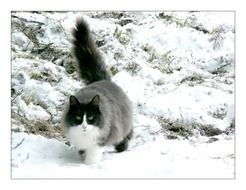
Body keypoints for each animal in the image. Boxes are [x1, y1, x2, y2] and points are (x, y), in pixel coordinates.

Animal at [62, 17, 134, 164]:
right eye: (78, 117)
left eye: (90, 117)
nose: (84, 126)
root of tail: (104, 80)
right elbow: (82, 150)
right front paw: (82, 157)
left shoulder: (102, 136)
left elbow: (93, 153)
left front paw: (89, 164)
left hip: (123, 123)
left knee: (128, 133)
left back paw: (121, 147)